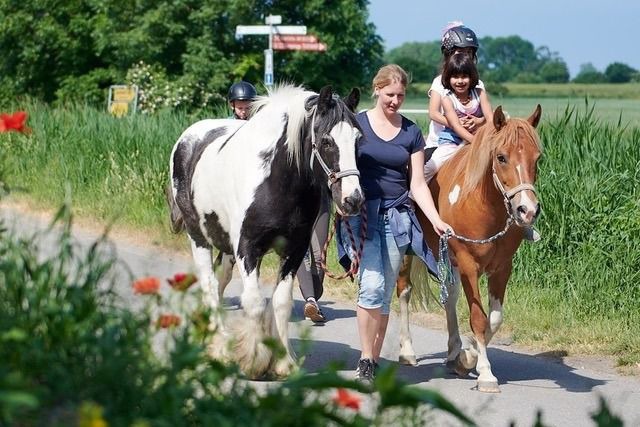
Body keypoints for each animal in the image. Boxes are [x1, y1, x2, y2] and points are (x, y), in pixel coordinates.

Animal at [168, 85, 362, 380]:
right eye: (327, 141)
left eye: (358, 140)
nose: (353, 199)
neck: (276, 179)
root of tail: (187, 139)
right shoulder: (248, 249)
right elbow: (255, 301)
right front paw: (254, 360)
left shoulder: (294, 250)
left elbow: (281, 303)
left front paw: (283, 362)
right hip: (198, 237)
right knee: (209, 284)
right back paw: (220, 347)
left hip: (226, 246)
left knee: (220, 281)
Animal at [398, 105, 544, 392]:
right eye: (501, 157)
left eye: (537, 159)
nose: (528, 210)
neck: (483, 202)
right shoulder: (469, 265)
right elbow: (478, 318)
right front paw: (485, 373)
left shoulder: (502, 268)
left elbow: (494, 319)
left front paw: (467, 357)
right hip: (409, 254)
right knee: (404, 290)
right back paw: (407, 351)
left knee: (450, 297)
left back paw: (454, 352)